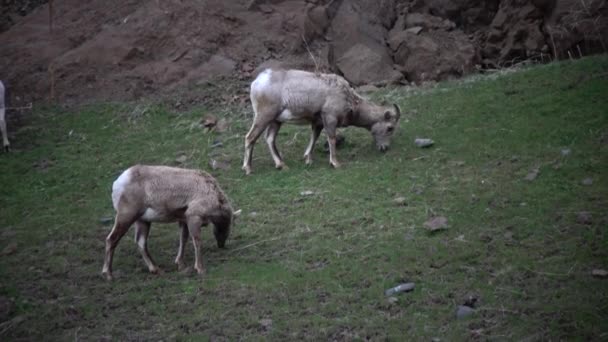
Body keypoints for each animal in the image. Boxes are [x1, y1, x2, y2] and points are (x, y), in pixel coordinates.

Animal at [102, 165, 233, 280]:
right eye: (225, 229)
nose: (221, 244)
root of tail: (117, 183)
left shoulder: (183, 220)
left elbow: (183, 239)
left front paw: (180, 264)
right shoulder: (193, 217)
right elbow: (197, 241)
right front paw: (200, 269)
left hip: (142, 220)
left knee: (141, 242)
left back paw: (156, 270)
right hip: (126, 217)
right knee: (111, 239)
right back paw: (108, 274)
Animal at [240, 70, 402, 176]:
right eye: (390, 128)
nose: (384, 148)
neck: (349, 99)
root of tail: (257, 83)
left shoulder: (318, 123)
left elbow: (314, 138)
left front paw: (308, 160)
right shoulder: (330, 118)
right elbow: (331, 139)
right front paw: (335, 163)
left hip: (275, 121)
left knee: (270, 139)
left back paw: (281, 165)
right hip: (264, 117)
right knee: (250, 137)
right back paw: (248, 169)